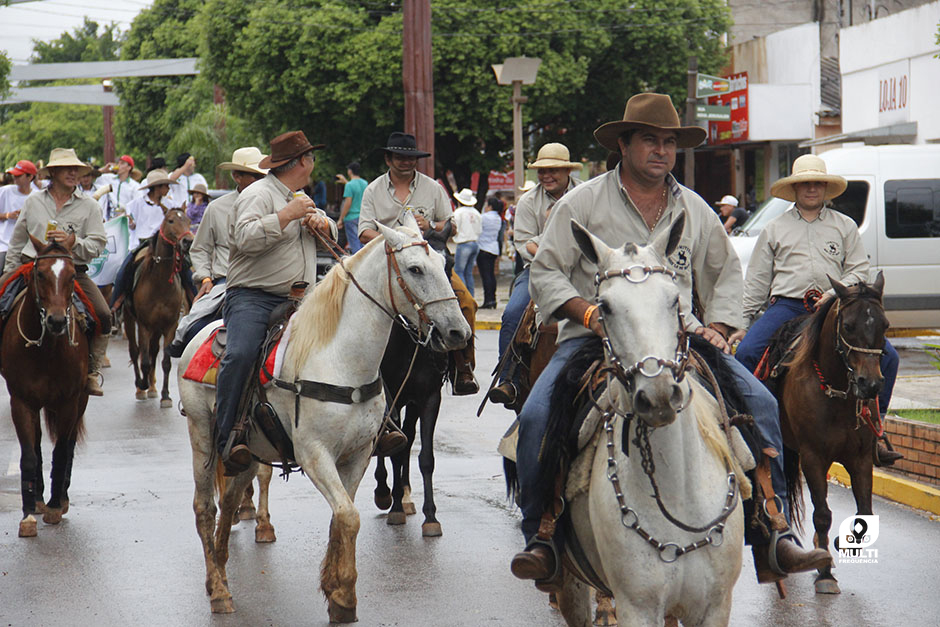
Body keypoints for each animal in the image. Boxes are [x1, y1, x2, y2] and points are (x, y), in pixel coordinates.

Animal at [0, 236, 89, 540]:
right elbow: (29, 454)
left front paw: (54, 506)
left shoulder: (70, 402)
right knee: (37, 444)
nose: (57, 321)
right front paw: (28, 514)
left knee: (69, 444)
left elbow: (61, 450)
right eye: (40, 274)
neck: (47, 350)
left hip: (81, 401)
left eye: (72, 275)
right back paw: (37, 498)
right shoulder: (21, 402)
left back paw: (60, 497)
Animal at [123, 209, 193, 408]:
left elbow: (166, 362)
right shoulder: (144, 325)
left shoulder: (170, 325)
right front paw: (142, 384)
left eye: (188, 221)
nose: (188, 241)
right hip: (130, 319)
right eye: (170, 220)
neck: (159, 282)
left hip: (157, 327)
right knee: (135, 351)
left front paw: (165, 395)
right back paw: (141, 387)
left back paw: (153, 387)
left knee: (153, 350)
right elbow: (144, 360)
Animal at [176, 217, 470, 624]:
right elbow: (348, 515)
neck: (340, 360)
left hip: (248, 451)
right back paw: (218, 591)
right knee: (205, 508)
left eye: (447, 265)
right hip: (202, 436)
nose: (458, 332)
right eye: (415, 269)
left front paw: (336, 591)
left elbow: (342, 516)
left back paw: (221, 567)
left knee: (232, 499)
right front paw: (344, 595)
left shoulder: (358, 454)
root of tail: (202, 333)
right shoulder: (314, 454)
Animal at [556, 216, 744, 627]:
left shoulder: (715, 606)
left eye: (674, 300)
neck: (678, 495)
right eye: (605, 307)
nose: (657, 396)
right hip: (571, 585)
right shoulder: (637, 607)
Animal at [780, 274, 888, 592]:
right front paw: (825, 572)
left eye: (885, 325)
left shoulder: (861, 458)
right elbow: (822, 514)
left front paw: (842, 543)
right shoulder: (813, 457)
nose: (870, 384)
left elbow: (865, 511)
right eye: (848, 326)